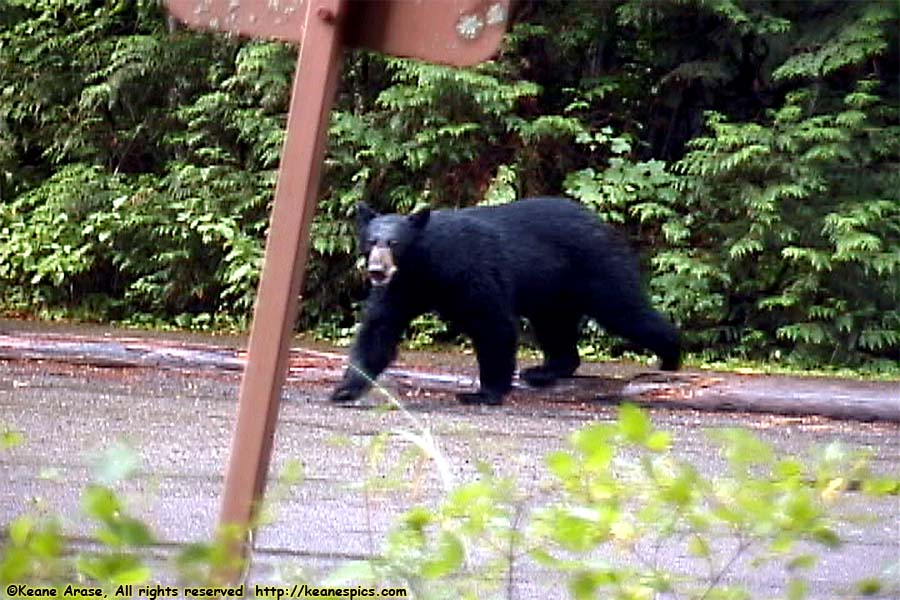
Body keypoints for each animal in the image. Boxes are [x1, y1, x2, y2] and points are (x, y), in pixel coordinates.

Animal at [332, 199, 684, 406]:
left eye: (394, 243)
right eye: (370, 241)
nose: (377, 270)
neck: (424, 265)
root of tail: (604, 224)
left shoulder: (469, 270)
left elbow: (493, 323)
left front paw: (483, 393)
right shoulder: (401, 288)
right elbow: (379, 329)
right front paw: (345, 388)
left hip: (596, 269)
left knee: (626, 310)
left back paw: (670, 359)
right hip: (553, 291)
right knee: (555, 327)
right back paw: (543, 371)